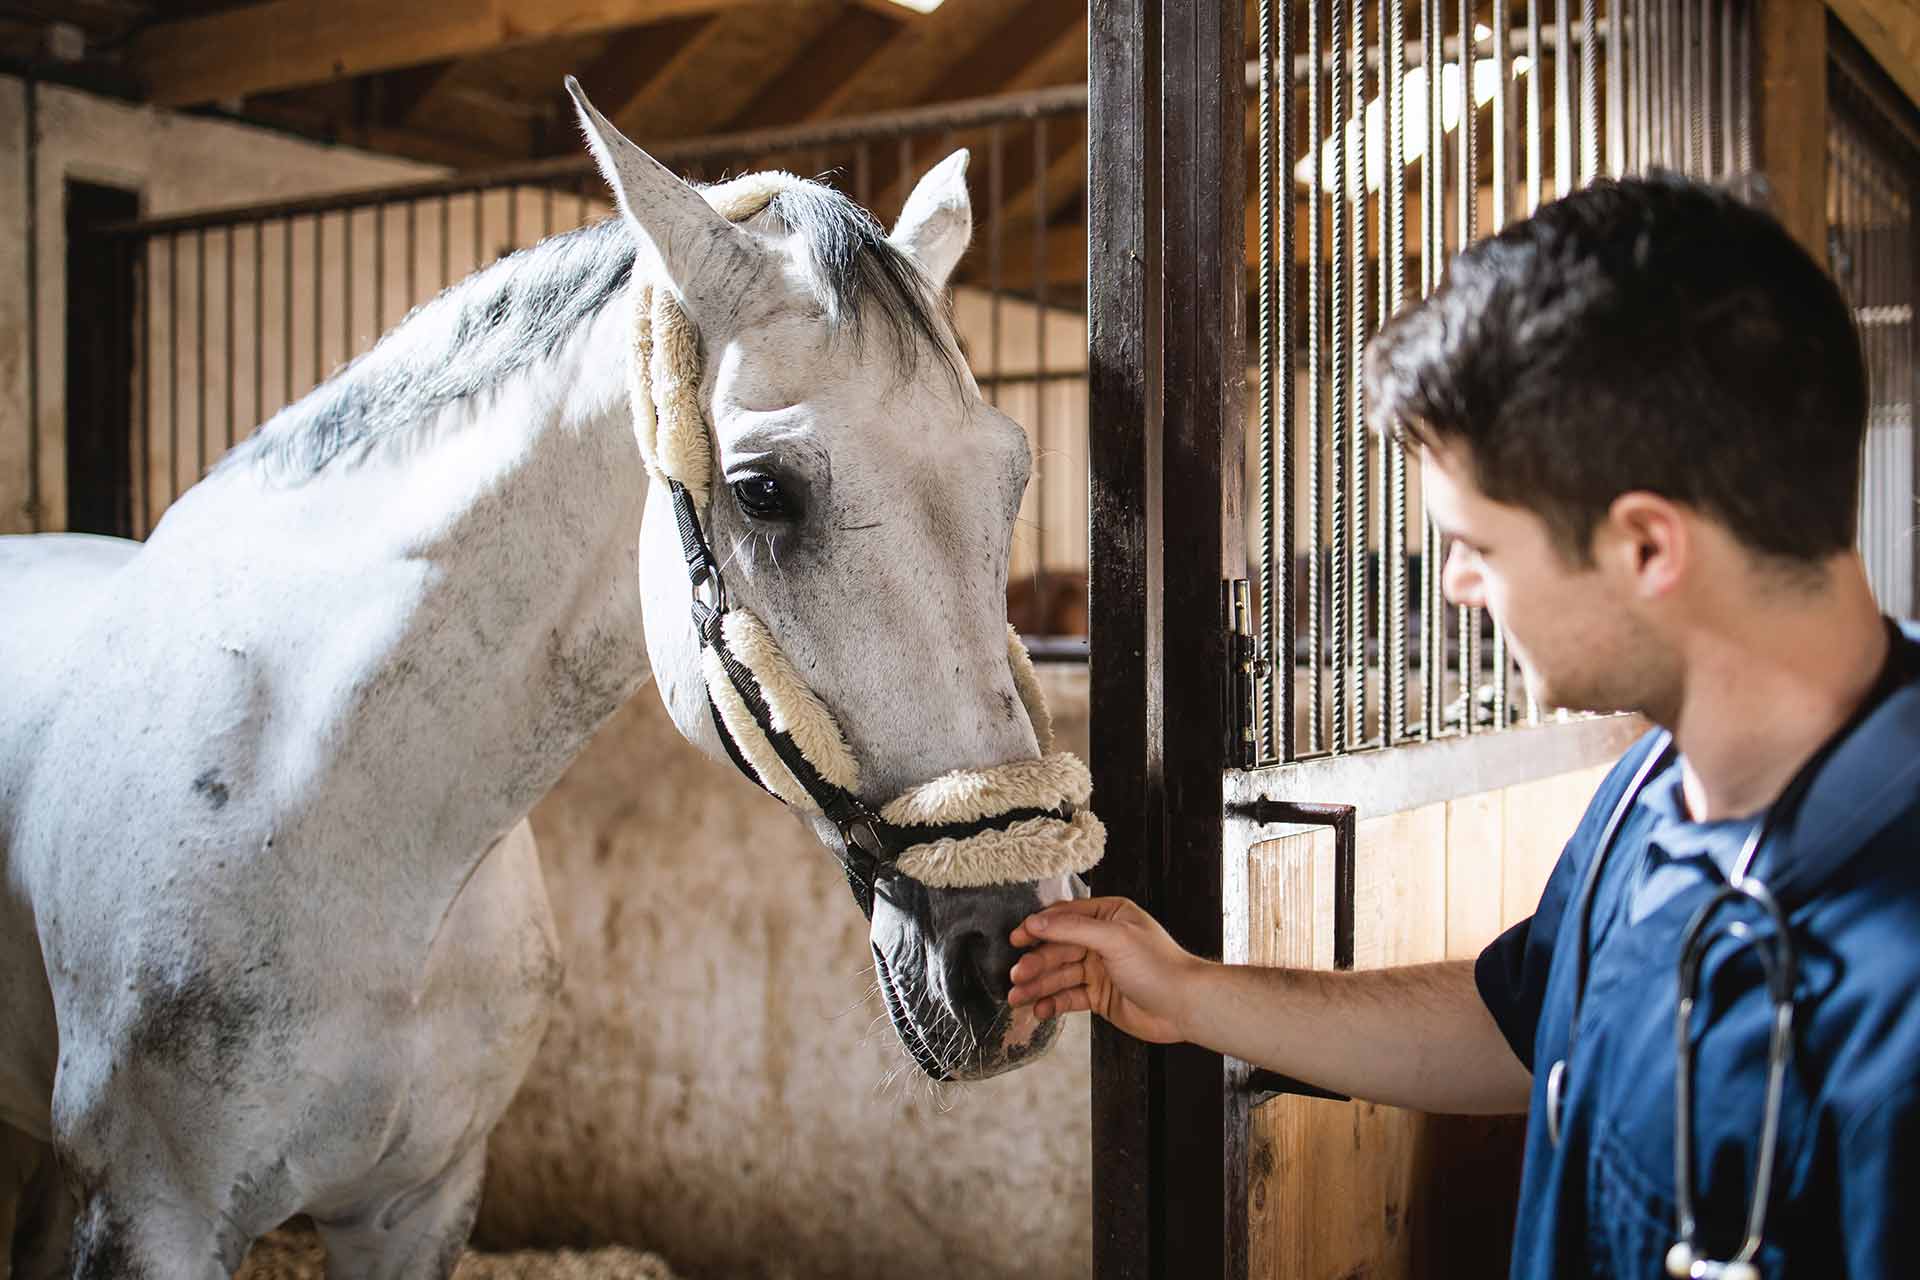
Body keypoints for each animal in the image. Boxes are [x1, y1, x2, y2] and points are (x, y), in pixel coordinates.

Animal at [0, 83, 1091, 1278]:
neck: (337, 825)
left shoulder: (418, 1202)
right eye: (763, 492)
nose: (1008, 959)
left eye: (1013, 475)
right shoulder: (154, 1216)